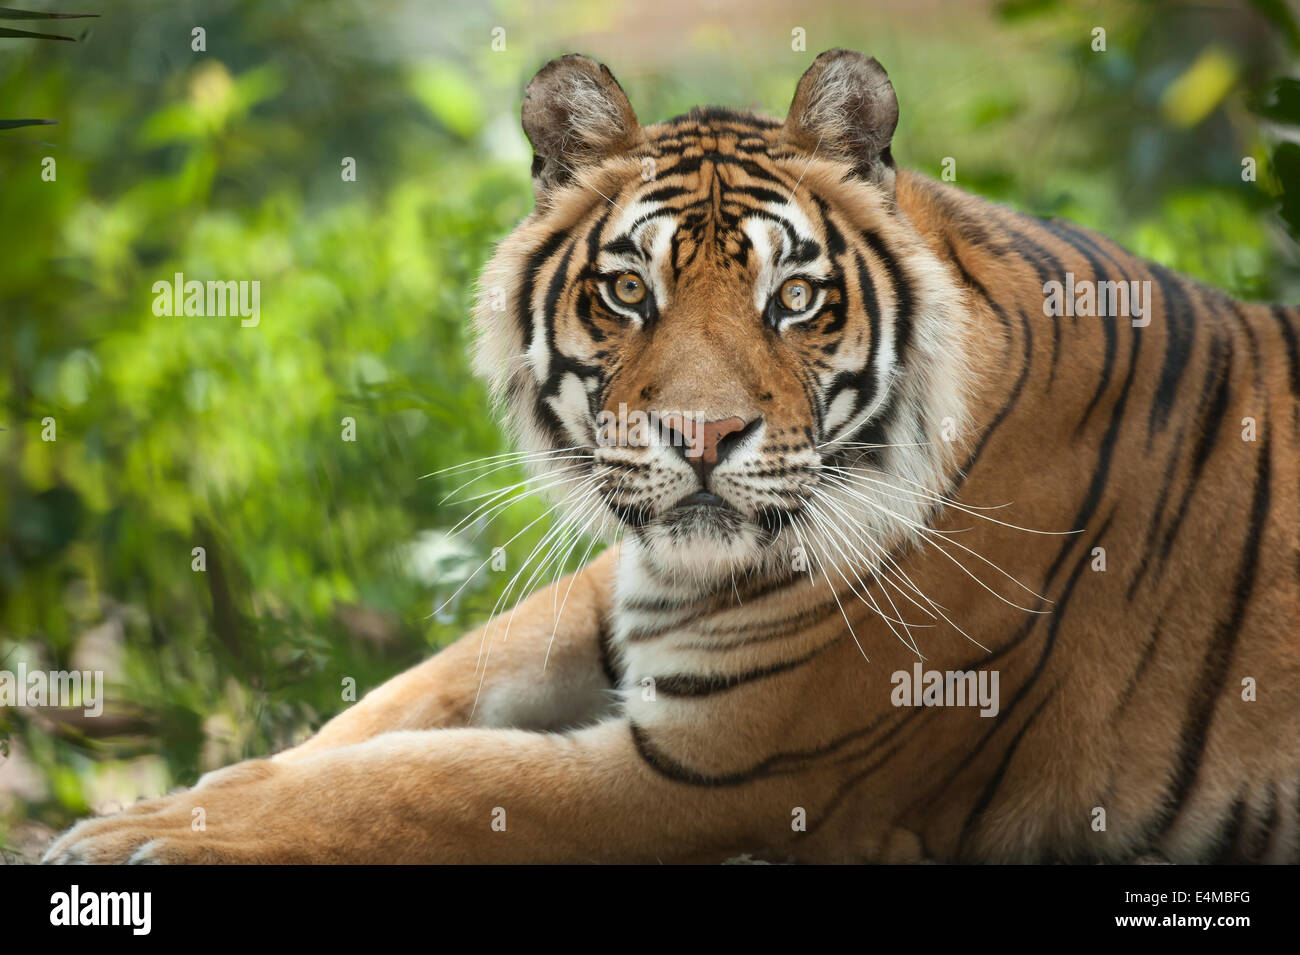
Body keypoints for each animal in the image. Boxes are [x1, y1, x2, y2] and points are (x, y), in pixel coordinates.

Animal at [45, 46, 1300, 867]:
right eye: (627, 292)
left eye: (793, 298)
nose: (700, 437)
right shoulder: (614, 596)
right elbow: (400, 706)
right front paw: (188, 790)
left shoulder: (724, 769)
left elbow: (431, 784)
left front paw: (147, 830)